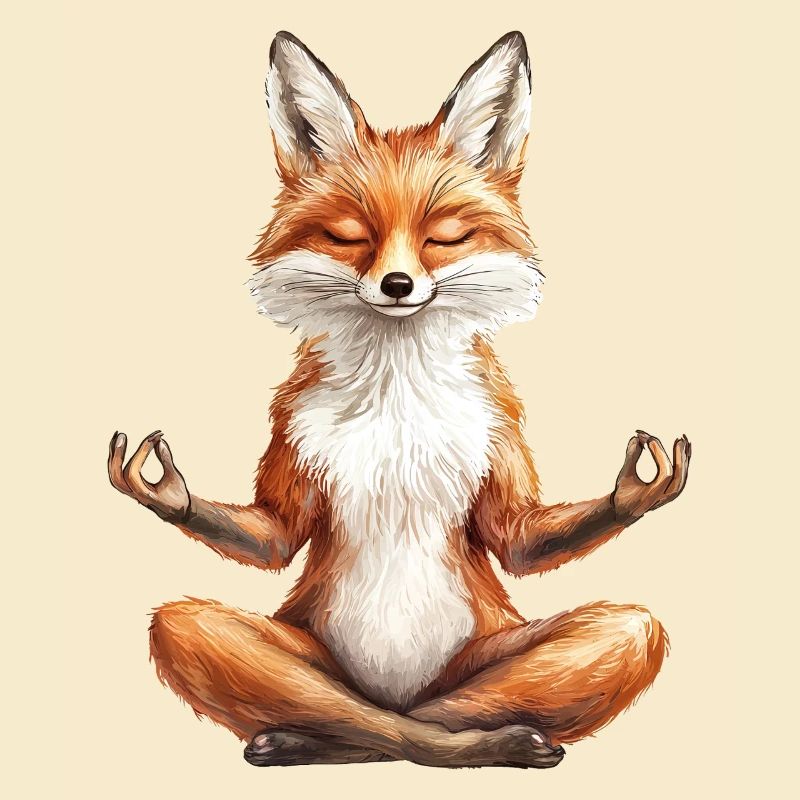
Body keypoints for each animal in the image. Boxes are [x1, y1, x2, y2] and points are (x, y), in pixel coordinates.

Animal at [108, 31, 691, 769]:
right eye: (349, 234)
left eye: (443, 236)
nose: (397, 284)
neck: (397, 395)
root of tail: (395, 691)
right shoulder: (291, 430)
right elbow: (276, 536)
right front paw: (167, 491)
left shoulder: (499, 431)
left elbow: (518, 540)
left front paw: (633, 491)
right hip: (262, 639)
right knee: (346, 706)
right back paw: (316, 738)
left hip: (515, 648)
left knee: (444, 706)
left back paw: (487, 739)